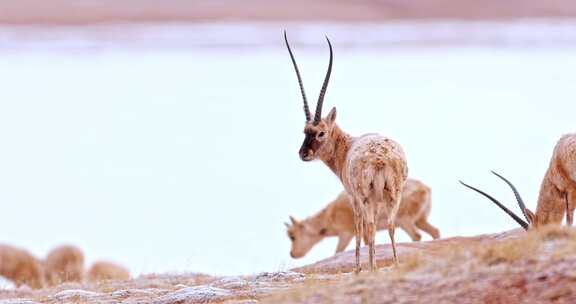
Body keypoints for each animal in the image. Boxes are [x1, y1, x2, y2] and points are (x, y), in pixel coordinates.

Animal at [286, 31, 408, 274]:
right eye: (305, 131)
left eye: (321, 132)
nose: (303, 154)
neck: (347, 145)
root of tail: (381, 161)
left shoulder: (353, 198)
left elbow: (358, 229)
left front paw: (359, 268)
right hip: (393, 196)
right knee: (390, 226)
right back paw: (395, 264)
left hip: (366, 198)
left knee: (369, 227)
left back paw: (371, 268)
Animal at [286, 178, 440, 258]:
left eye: (292, 236)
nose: (292, 254)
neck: (330, 213)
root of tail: (426, 189)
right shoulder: (366, 232)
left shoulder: (346, 233)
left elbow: (338, 251)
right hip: (420, 221)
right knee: (434, 231)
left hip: (404, 221)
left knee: (416, 236)